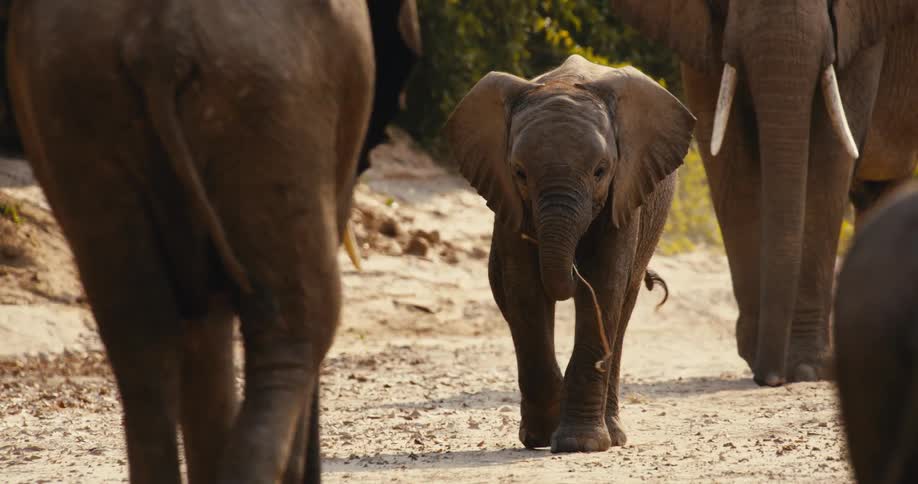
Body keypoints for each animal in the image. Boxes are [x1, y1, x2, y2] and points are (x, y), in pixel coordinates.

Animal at [4, 0, 419, 482]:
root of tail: (159, 40)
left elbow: (203, 329)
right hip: (269, 92)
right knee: (298, 327)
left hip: (74, 91)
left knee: (139, 333)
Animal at [445, 55, 694, 453]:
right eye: (519, 173)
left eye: (600, 171)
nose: (573, 269)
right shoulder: (508, 199)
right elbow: (525, 291)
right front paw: (541, 436)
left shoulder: (625, 192)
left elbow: (605, 285)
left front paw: (580, 444)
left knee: (623, 307)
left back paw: (614, 434)